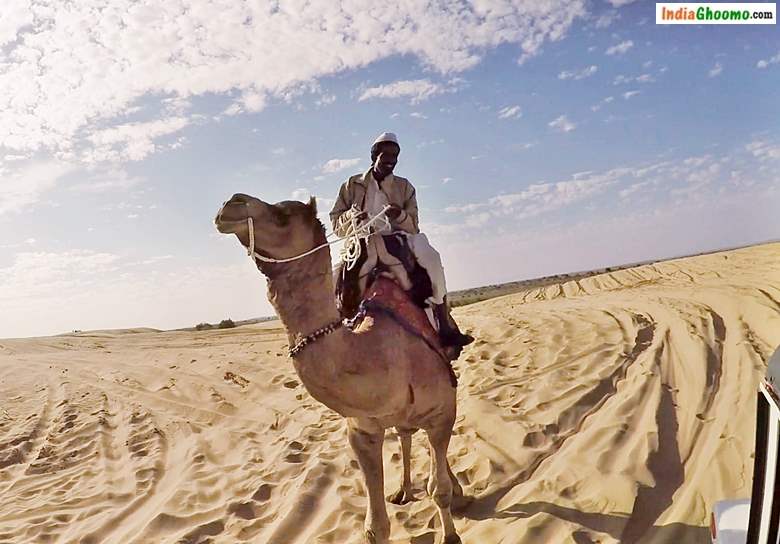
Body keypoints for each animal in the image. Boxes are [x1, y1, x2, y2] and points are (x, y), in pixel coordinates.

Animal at [213, 193, 464, 540]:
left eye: (284, 214)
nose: (230, 204)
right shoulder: (361, 431)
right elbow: (375, 527)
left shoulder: (442, 410)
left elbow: (438, 490)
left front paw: (451, 532)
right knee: (404, 433)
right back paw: (402, 490)